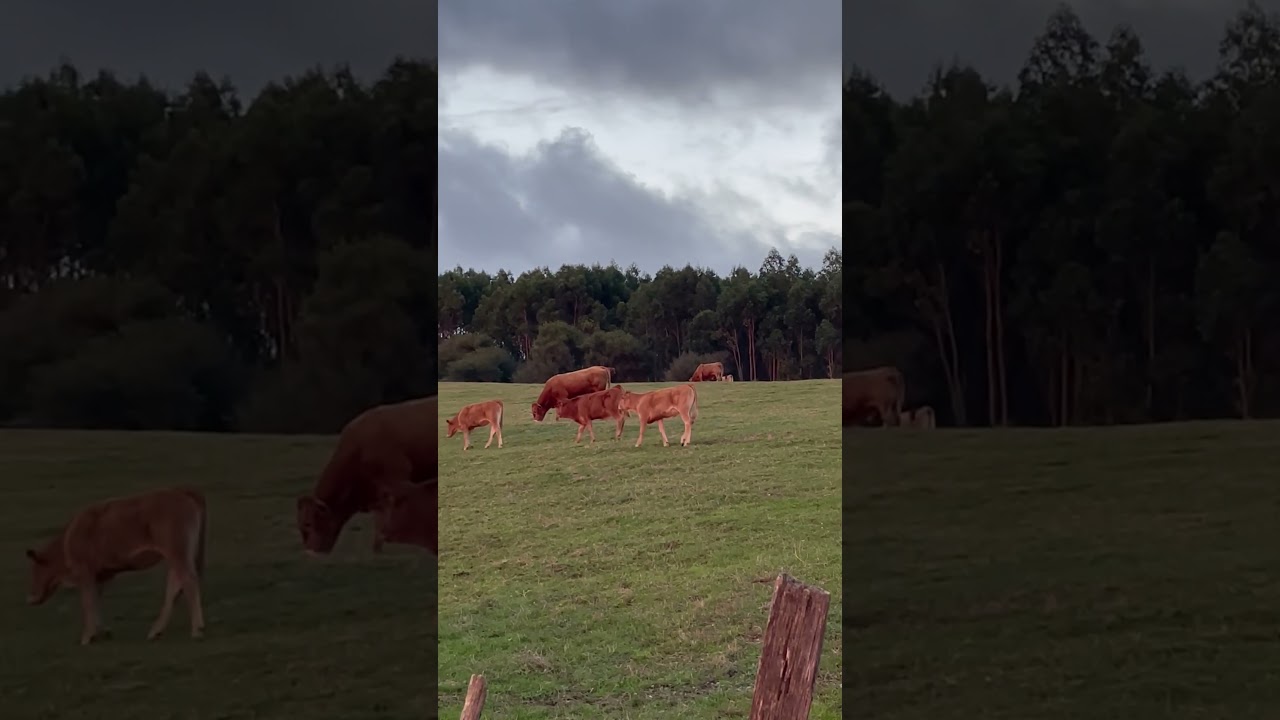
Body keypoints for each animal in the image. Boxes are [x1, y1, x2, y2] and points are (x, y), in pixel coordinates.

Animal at [25, 486, 208, 646]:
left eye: (34, 570)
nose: (30, 598)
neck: (67, 540)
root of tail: (180, 491)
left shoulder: (84, 573)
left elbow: (88, 603)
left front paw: (87, 637)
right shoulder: (100, 576)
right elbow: (96, 602)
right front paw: (102, 631)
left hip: (178, 553)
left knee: (188, 581)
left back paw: (197, 630)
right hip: (176, 557)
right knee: (175, 585)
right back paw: (156, 631)